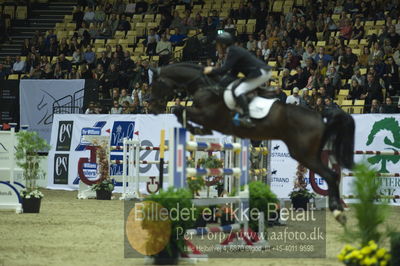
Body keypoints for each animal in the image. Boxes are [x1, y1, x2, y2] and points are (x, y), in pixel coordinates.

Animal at [148, 62, 354, 224]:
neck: (205, 86)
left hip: (304, 154)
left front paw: (194, 128)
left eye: (155, 84)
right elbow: (181, 111)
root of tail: (320, 116)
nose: (152, 107)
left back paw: (338, 211)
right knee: (332, 175)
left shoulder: (207, 115)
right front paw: (196, 129)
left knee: (331, 176)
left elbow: (179, 110)